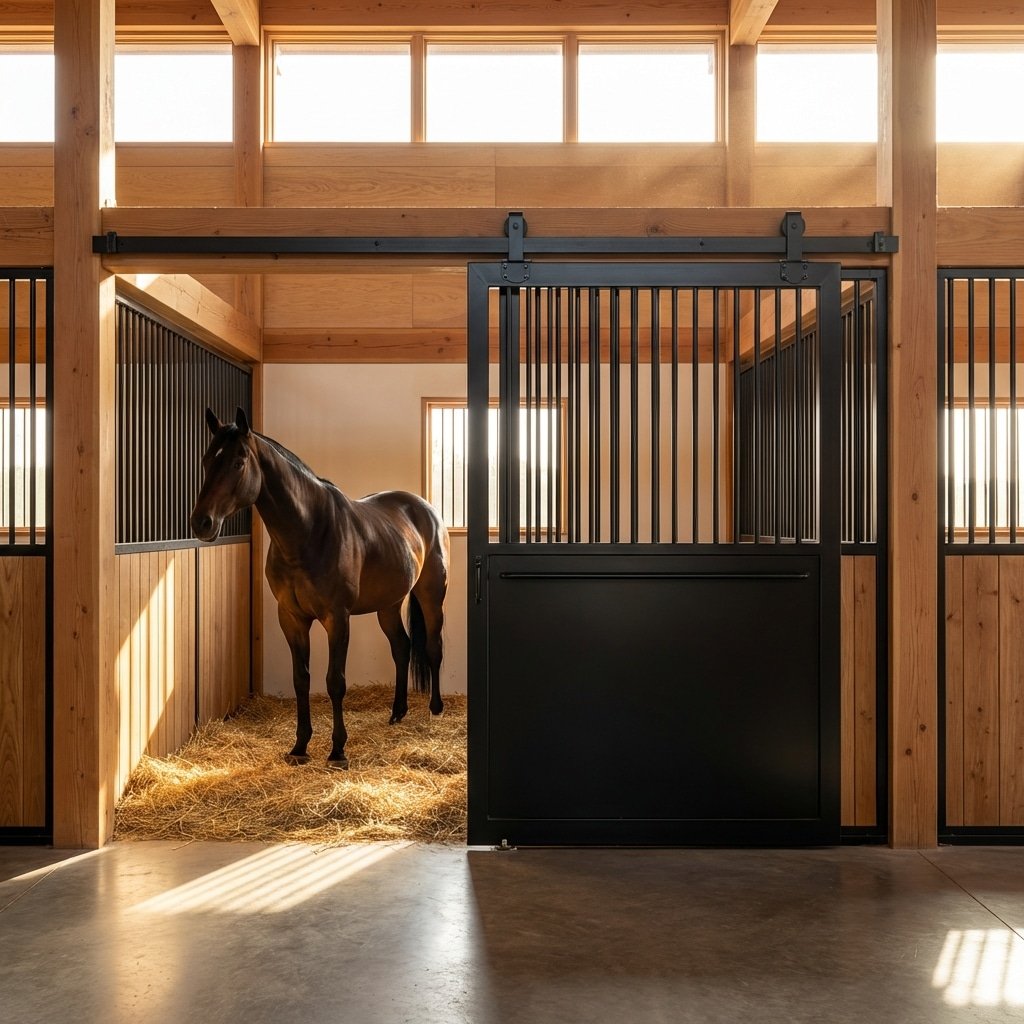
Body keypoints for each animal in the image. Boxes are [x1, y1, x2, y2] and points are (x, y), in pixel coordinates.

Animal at [189, 407, 448, 770]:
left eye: (239, 462)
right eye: (206, 460)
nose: (202, 523)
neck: (308, 532)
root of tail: (425, 509)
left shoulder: (337, 618)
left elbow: (334, 681)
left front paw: (338, 750)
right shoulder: (292, 618)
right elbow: (302, 679)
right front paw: (300, 746)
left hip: (431, 594)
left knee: (433, 647)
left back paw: (435, 709)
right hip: (388, 604)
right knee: (402, 647)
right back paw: (397, 712)